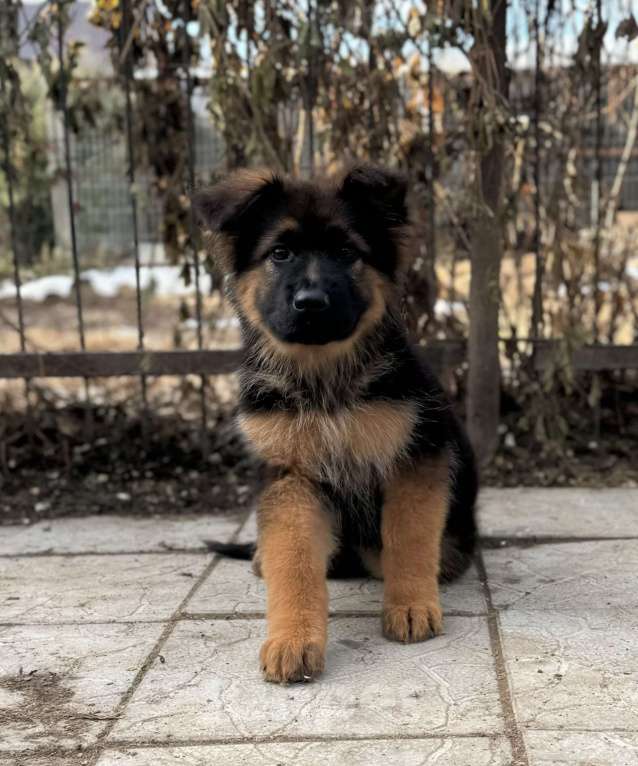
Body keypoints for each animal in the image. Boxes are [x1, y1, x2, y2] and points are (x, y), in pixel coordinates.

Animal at [195, 164, 480, 684]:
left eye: (347, 253)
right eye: (280, 253)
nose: (311, 302)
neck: (324, 379)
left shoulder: (415, 461)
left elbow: (408, 537)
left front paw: (410, 606)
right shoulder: (291, 480)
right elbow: (294, 562)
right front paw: (292, 640)